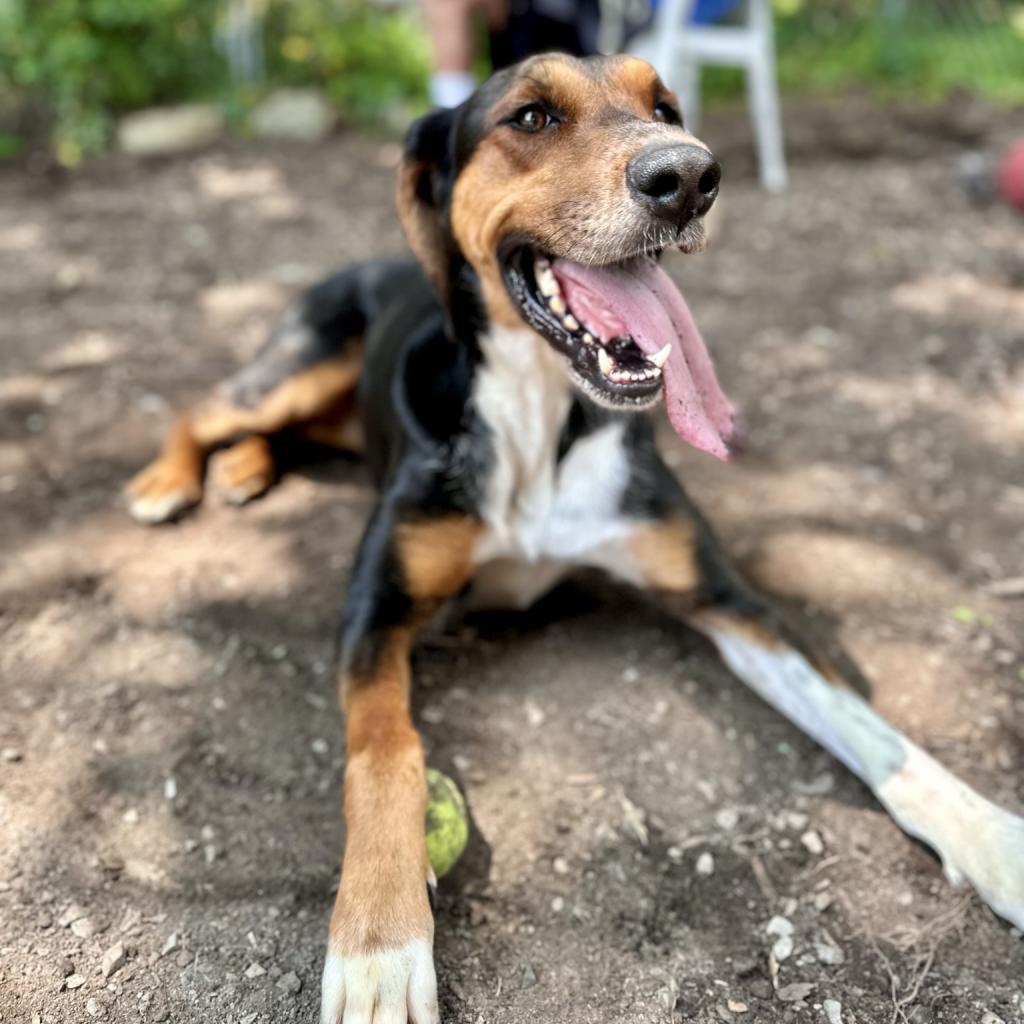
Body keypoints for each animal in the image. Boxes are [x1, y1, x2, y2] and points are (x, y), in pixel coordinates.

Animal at [130, 56, 1024, 1024]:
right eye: (531, 115)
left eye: (665, 107)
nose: (690, 177)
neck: (537, 410)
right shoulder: (374, 609)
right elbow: (385, 752)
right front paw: (378, 943)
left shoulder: (726, 598)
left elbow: (874, 730)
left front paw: (994, 838)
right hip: (295, 365)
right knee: (203, 408)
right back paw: (170, 481)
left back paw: (243, 470)